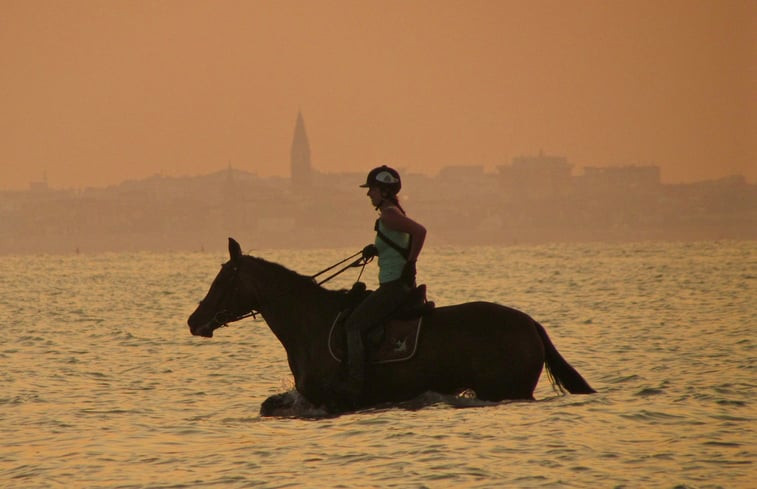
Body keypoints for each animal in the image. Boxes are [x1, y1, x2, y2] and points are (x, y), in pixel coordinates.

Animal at [186, 238, 592, 414]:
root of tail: (530, 324)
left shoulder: (331, 400)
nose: (194, 320)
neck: (309, 322)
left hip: (507, 388)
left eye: (223, 279)